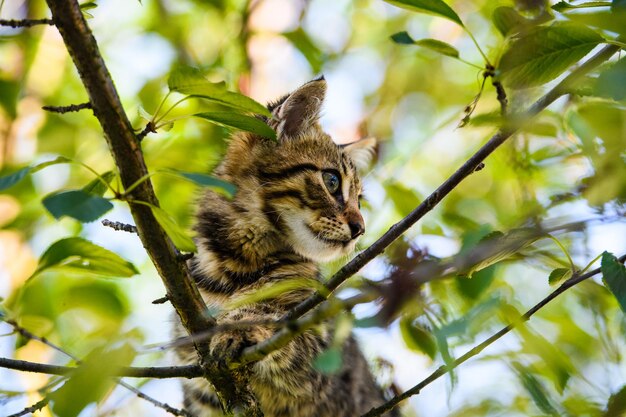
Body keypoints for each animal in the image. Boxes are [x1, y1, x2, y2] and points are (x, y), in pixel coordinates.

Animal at [172, 78, 394, 416]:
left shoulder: (322, 355)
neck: (239, 261)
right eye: (331, 181)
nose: (360, 229)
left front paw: (240, 326)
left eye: (360, 200)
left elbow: (276, 324)